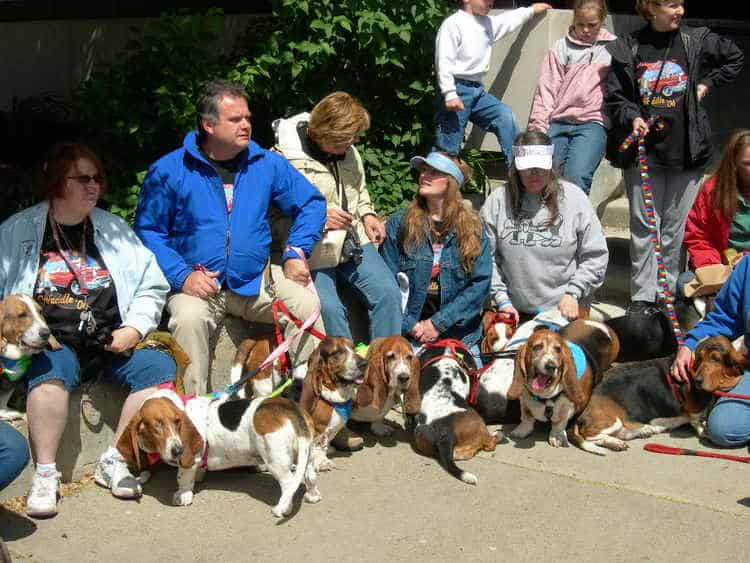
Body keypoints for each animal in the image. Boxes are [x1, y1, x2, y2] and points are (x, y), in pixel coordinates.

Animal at [117, 390, 320, 516]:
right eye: (156, 426)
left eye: (177, 422)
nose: (178, 450)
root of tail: (292, 410)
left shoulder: (188, 461)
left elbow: (183, 477)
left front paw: (182, 495)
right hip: (306, 453)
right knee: (310, 476)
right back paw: (313, 496)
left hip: (275, 460)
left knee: (289, 484)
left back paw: (283, 508)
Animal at [302, 338, 368, 474]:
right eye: (337, 352)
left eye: (353, 348)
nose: (365, 363)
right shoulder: (318, 429)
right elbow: (318, 446)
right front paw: (322, 463)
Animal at [508, 322, 620, 450]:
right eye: (537, 347)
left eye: (558, 349)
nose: (551, 366)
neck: (545, 397)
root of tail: (601, 325)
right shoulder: (524, 401)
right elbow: (527, 417)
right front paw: (521, 431)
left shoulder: (570, 407)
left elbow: (559, 423)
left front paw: (557, 437)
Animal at [572, 338, 744, 456]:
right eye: (699, 358)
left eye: (715, 359)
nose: (697, 381)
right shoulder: (694, 411)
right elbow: (697, 421)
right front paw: (704, 430)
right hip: (612, 420)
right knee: (588, 435)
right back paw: (617, 441)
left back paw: (633, 435)